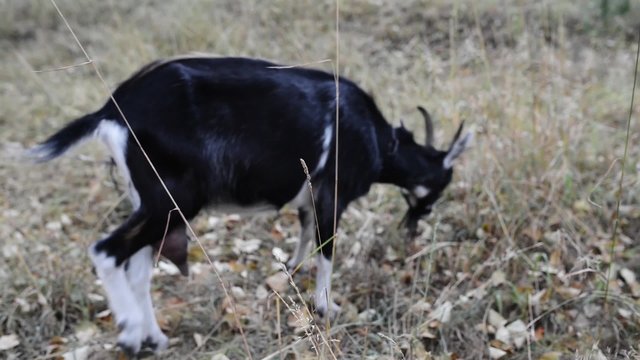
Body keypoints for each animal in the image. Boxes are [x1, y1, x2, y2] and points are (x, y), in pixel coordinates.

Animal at [32, 56, 472, 354]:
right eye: (442, 183)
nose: (414, 226)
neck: (377, 138)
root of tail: (111, 109)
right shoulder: (332, 194)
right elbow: (326, 248)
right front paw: (325, 306)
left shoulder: (308, 197)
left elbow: (304, 235)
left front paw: (289, 272)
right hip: (172, 199)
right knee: (107, 251)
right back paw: (128, 331)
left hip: (154, 203)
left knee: (137, 268)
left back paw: (154, 337)